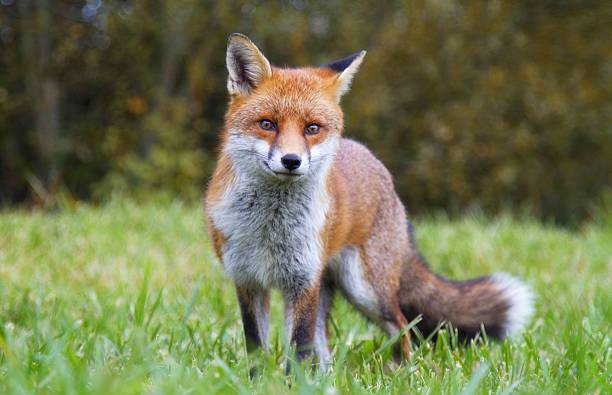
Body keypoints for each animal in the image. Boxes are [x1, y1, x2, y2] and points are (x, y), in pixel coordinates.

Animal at [203, 34, 532, 372]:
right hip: (332, 286)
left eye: (312, 128)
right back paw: (329, 377)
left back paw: (402, 372)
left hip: (365, 288)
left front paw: (292, 381)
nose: (291, 161)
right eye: (267, 124)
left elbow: (299, 349)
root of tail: (373, 159)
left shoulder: (303, 280)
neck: (270, 226)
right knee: (326, 342)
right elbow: (256, 347)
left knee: (402, 326)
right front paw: (258, 380)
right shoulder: (248, 279)